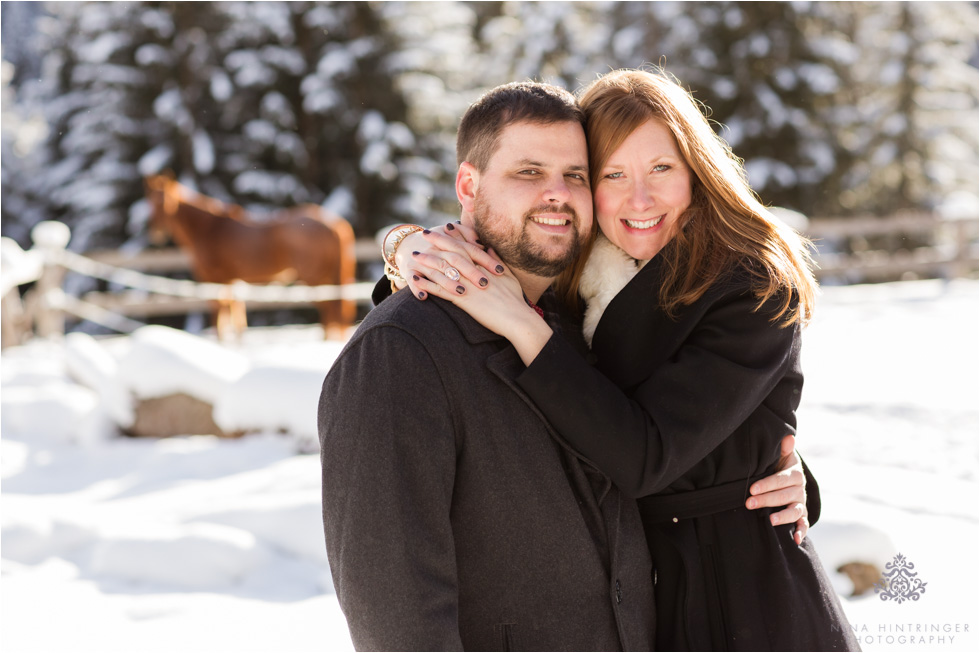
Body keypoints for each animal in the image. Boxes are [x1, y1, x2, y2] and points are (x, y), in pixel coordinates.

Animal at [144, 173, 358, 342]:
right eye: (150, 200)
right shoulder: (232, 281)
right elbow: (237, 319)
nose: (155, 230)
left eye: (165, 200)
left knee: (331, 311)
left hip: (316, 280)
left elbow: (220, 318)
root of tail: (334, 223)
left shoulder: (215, 280)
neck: (209, 229)